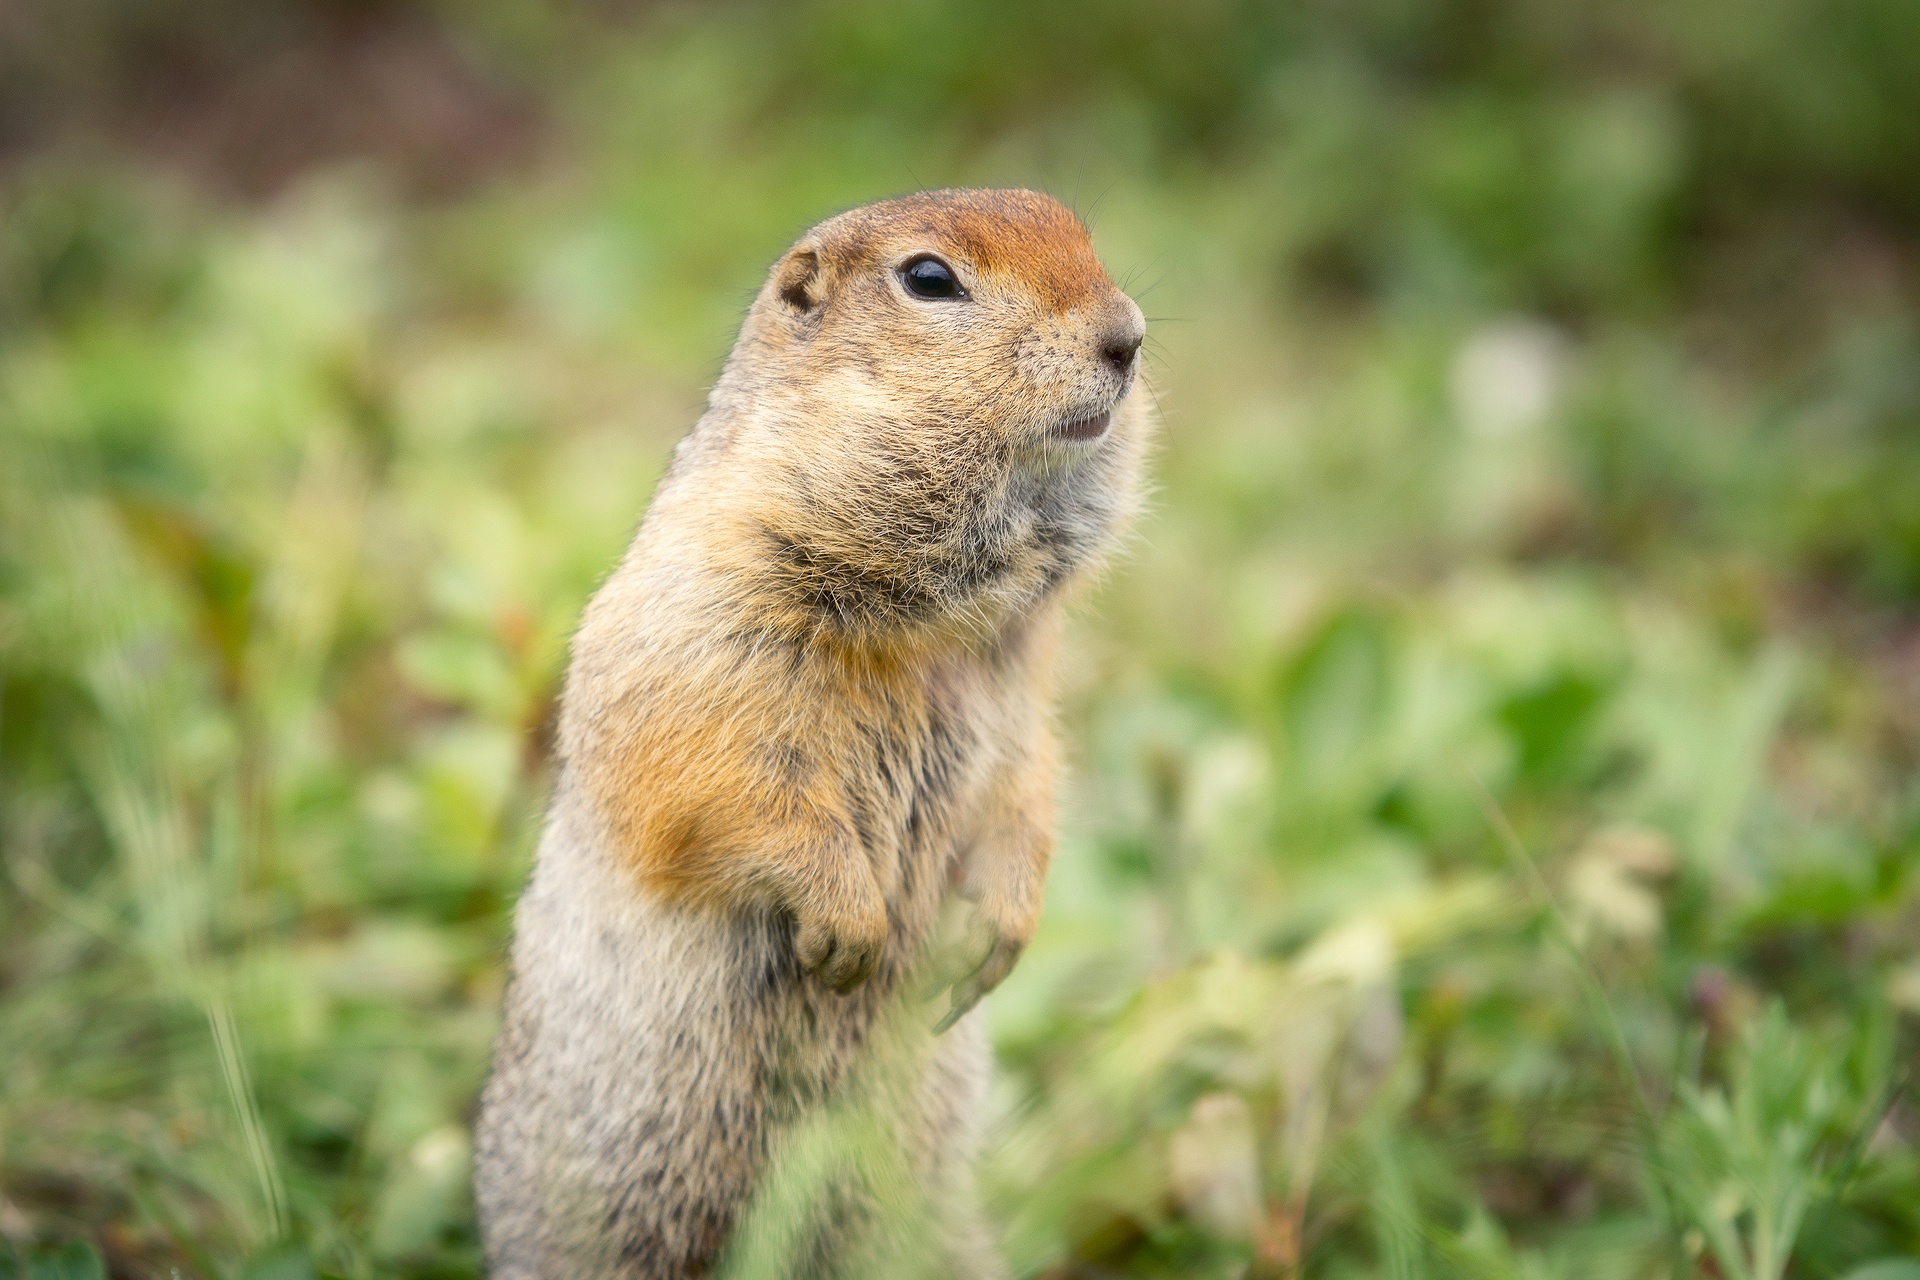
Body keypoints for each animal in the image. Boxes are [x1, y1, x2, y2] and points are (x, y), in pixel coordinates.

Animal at [474, 189, 1144, 1280]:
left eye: (1077, 226)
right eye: (928, 278)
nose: (1128, 338)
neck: (932, 623)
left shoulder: (1017, 693)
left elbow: (1029, 787)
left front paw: (996, 934)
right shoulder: (708, 617)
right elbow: (721, 782)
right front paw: (850, 929)